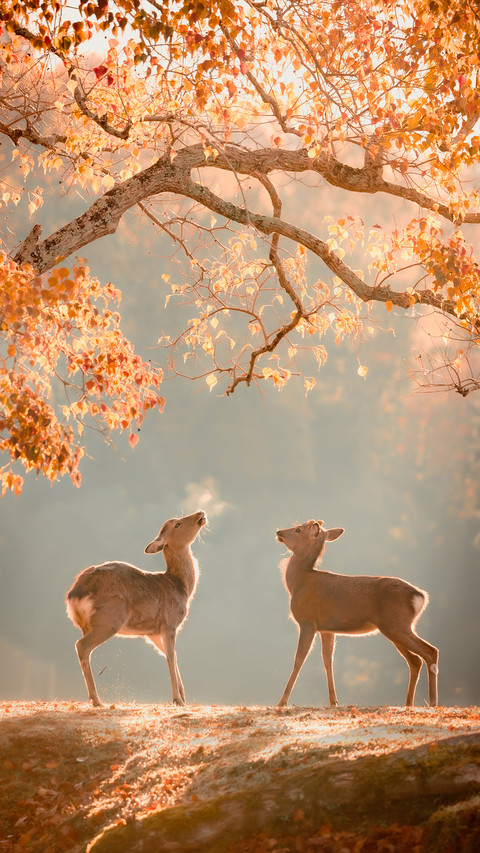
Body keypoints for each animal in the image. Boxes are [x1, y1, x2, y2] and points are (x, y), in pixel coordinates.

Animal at [66, 510, 207, 707]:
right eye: (177, 524)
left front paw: (183, 695)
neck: (181, 587)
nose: (200, 513)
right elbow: (170, 657)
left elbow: (172, 655)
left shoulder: (151, 632)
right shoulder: (169, 624)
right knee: (82, 646)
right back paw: (97, 700)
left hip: (86, 625)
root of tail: (73, 594)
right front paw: (177, 699)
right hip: (109, 621)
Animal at [276, 519, 438, 708]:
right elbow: (328, 660)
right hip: (396, 627)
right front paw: (334, 701)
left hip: (397, 625)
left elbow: (299, 659)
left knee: (430, 652)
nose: (278, 532)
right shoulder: (327, 629)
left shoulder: (307, 621)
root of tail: (421, 596)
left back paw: (432, 703)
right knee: (415, 660)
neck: (299, 583)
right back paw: (409, 703)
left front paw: (281, 702)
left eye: (298, 529)